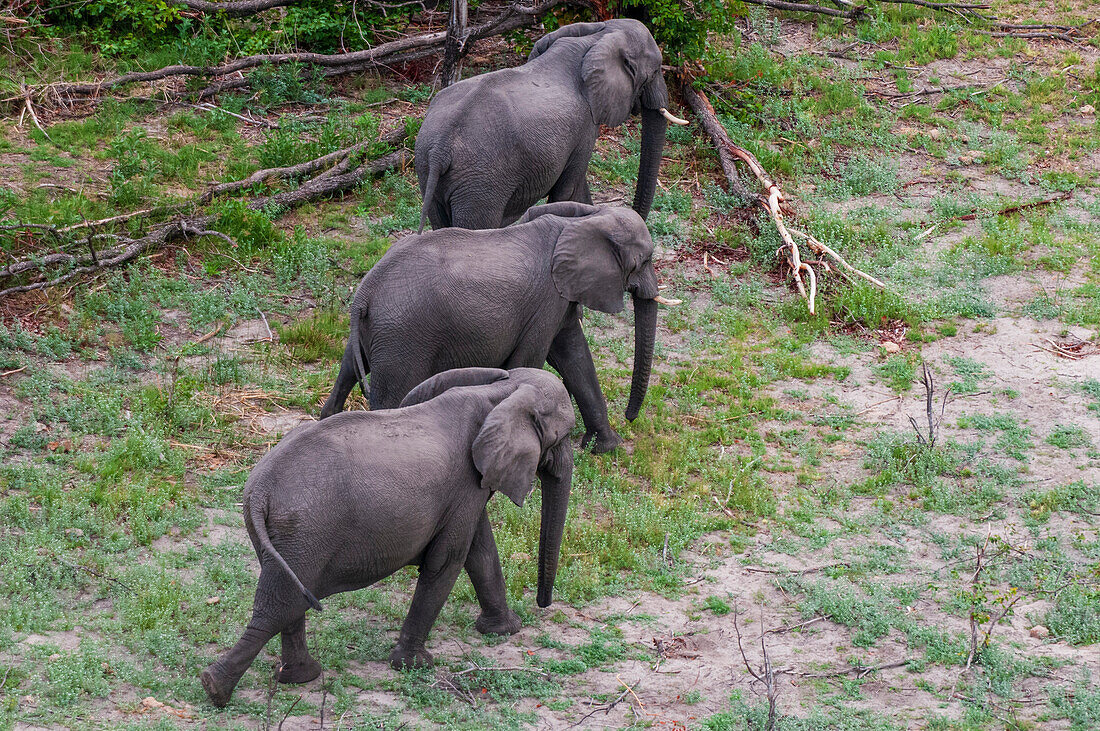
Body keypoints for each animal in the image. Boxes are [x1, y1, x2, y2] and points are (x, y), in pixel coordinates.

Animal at [202, 364, 576, 707]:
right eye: (563, 436)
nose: (543, 604)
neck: (500, 393)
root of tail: (259, 489)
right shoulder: (465, 483)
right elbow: (448, 561)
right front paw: (413, 666)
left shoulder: (466, 490)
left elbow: (479, 551)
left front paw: (504, 631)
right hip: (304, 532)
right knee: (281, 605)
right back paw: (217, 689)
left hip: (287, 536)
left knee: (289, 597)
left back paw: (297, 678)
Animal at [319, 200, 660, 450]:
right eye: (642, 261)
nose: (631, 418)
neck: (588, 217)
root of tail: (365, 292)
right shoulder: (546, 301)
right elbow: (533, 360)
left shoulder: (560, 297)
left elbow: (574, 355)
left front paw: (606, 448)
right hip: (403, 336)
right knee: (388, 399)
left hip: (377, 330)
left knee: (348, 370)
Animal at [413, 17, 686, 230]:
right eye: (655, 70)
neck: (598, 35)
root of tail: (440, 149)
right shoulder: (584, 125)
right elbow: (569, 187)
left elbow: (577, 187)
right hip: (481, 183)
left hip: (427, 168)